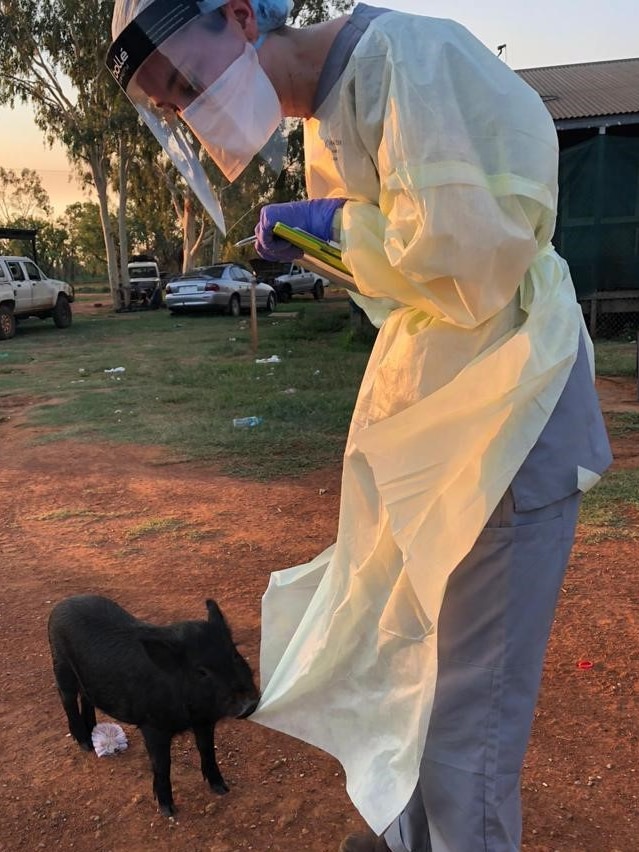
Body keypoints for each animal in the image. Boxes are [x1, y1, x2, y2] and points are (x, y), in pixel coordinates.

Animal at [48, 596, 260, 816]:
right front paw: (168, 811)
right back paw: (86, 745)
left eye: (235, 655)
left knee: (86, 698)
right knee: (67, 700)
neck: (191, 712)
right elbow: (162, 764)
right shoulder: (152, 725)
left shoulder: (204, 721)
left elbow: (207, 750)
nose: (249, 704)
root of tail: (62, 604)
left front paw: (222, 789)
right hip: (61, 665)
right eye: (201, 671)